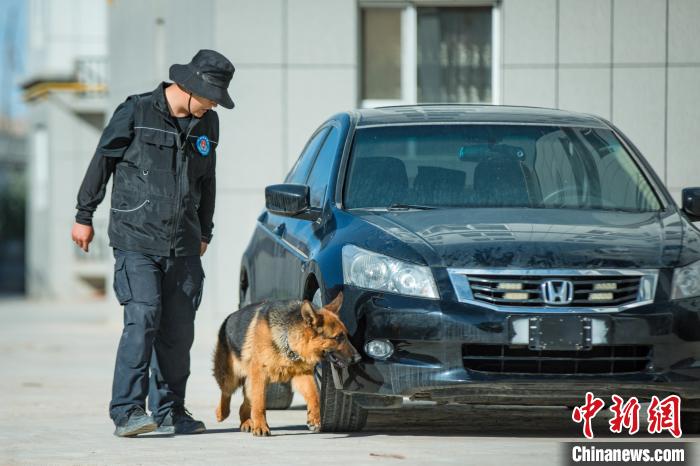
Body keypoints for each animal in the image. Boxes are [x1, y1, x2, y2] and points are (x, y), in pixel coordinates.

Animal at [212, 294, 360, 436]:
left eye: (346, 335)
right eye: (338, 337)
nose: (359, 358)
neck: (289, 340)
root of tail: (229, 318)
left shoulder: (302, 374)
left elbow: (315, 395)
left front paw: (315, 418)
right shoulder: (260, 375)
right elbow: (259, 404)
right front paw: (261, 426)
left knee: (244, 405)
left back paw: (247, 422)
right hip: (231, 377)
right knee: (226, 392)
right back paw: (222, 412)